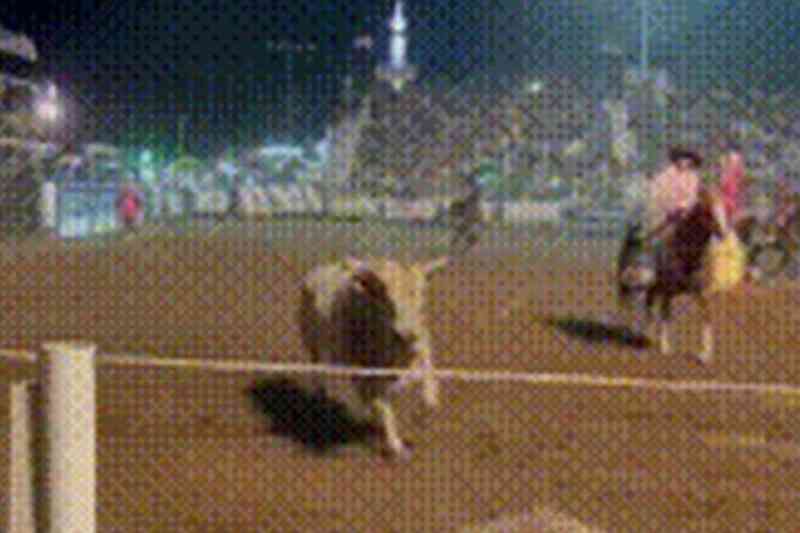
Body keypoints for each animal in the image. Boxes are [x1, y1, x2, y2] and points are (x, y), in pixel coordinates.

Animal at [298, 255, 450, 458]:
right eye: (385, 296)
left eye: (421, 293)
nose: (405, 333)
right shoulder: (366, 372)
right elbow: (382, 406)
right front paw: (395, 445)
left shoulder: (421, 346)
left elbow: (429, 378)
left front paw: (429, 402)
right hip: (314, 345)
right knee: (320, 373)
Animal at [616, 185, 748, 364]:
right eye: (707, 210)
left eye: (724, 207)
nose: (723, 233)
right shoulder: (668, 291)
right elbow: (666, 316)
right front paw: (665, 348)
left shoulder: (703, 293)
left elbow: (706, 319)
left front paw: (704, 355)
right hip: (631, 283)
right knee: (632, 305)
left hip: (653, 287)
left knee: (649, 305)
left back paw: (647, 337)